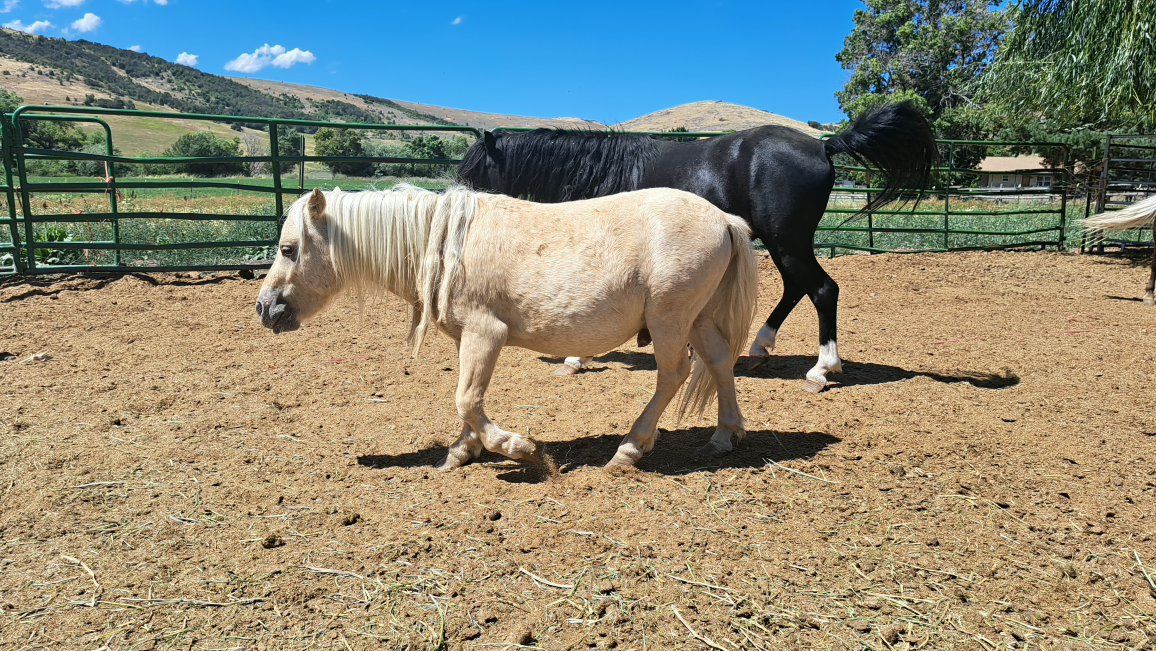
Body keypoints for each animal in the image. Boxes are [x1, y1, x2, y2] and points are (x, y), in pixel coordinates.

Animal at [255, 186, 758, 470]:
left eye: (288, 248)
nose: (264, 308)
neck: (441, 244)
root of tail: (723, 218)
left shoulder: (486, 334)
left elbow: (467, 398)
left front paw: (516, 447)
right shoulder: (467, 340)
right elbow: (467, 401)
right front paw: (462, 451)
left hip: (670, 318)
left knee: (673, 374)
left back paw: (631, 448)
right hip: (698, 317)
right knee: (718, 362)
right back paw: (723, 436)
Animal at [458, 101, 936, 391]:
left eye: (475, 167)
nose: (458, 204)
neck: (601, 171)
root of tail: (824, 146)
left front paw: (576, 356)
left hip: (788, 241)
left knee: (822, 290)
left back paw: (821, 369)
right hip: (783, 243)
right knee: (795, 289)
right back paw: (759, 349)